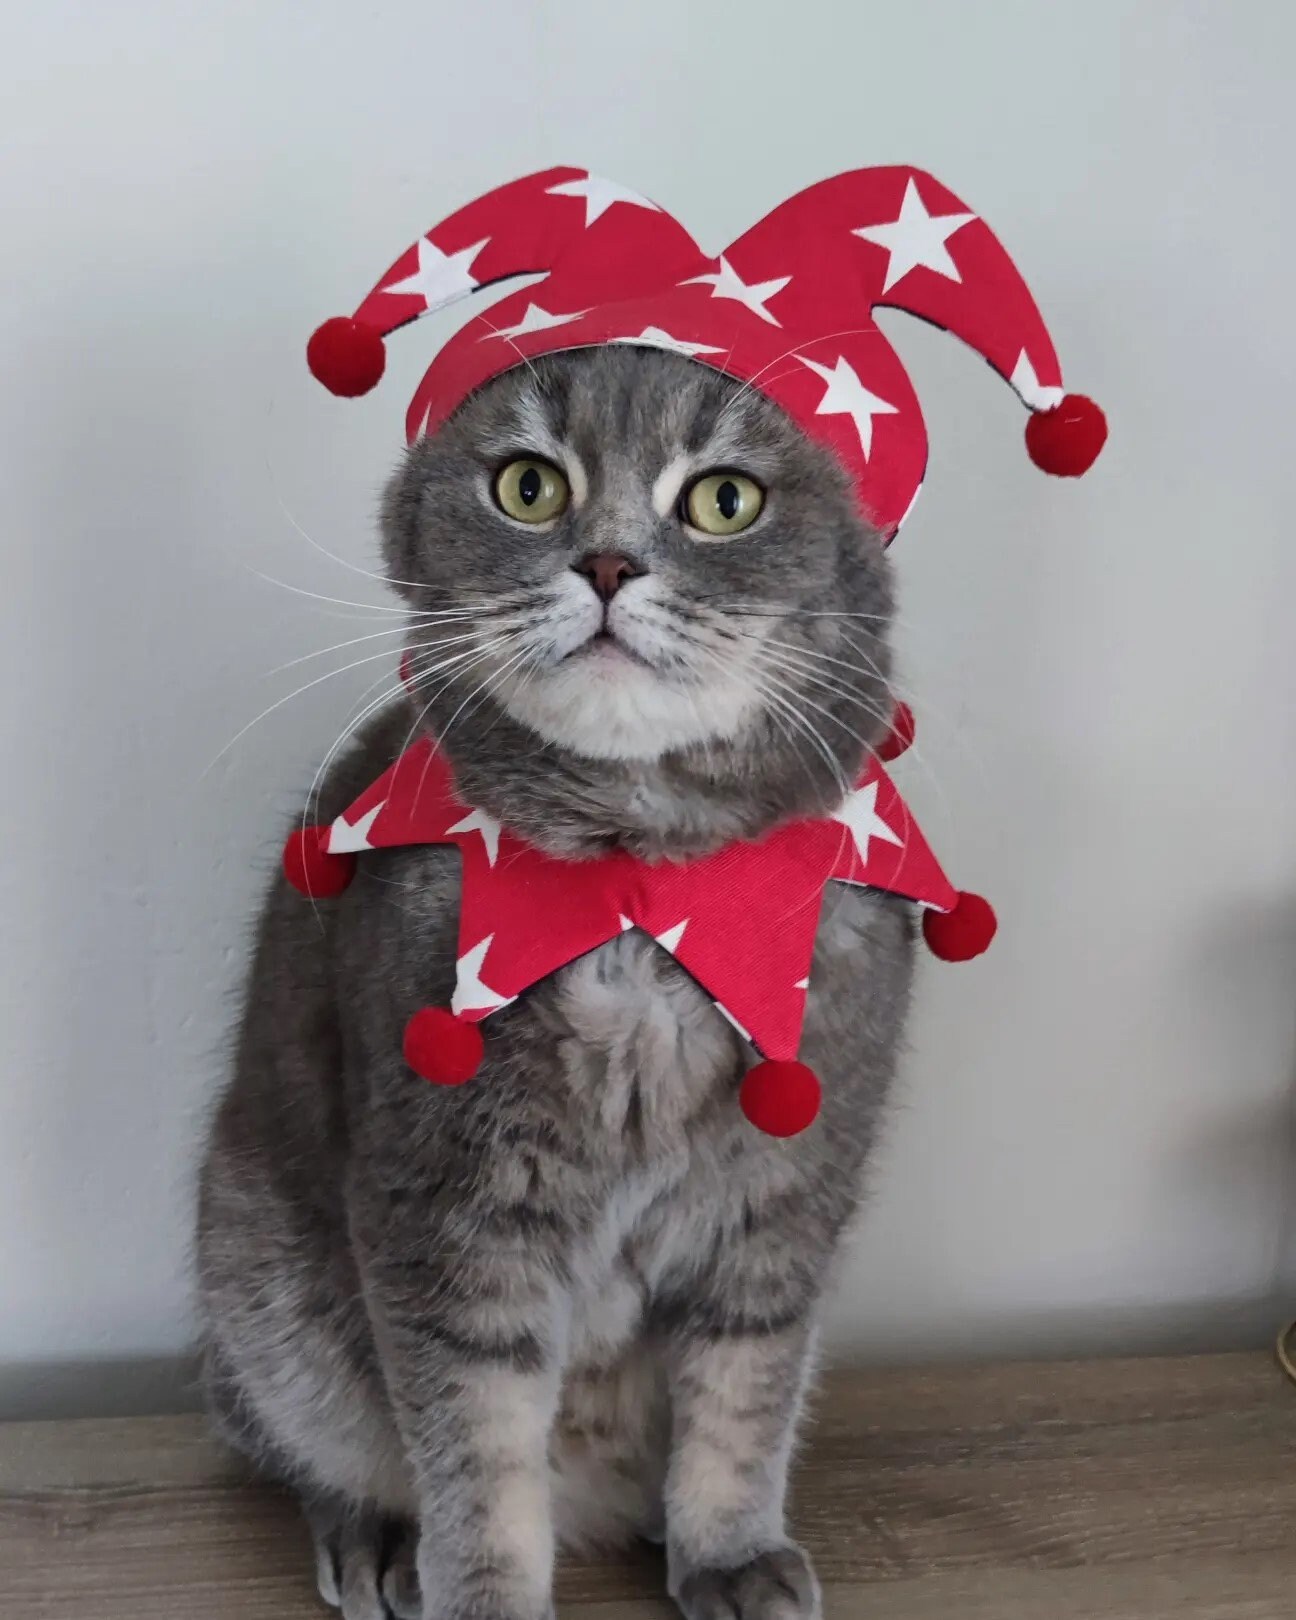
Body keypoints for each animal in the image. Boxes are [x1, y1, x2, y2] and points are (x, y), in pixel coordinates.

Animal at [195, 345, 915, 1620]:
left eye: (725, 500)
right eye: (529, 488)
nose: (610, 562)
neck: (639, 890)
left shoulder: (779, 1209)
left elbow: (744, 1404)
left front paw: (727, 1549)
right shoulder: (450, 1212)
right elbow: (477, 1450)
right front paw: (482, 1594)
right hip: (265, 1292)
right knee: (309, 1444)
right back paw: (376, 1539)